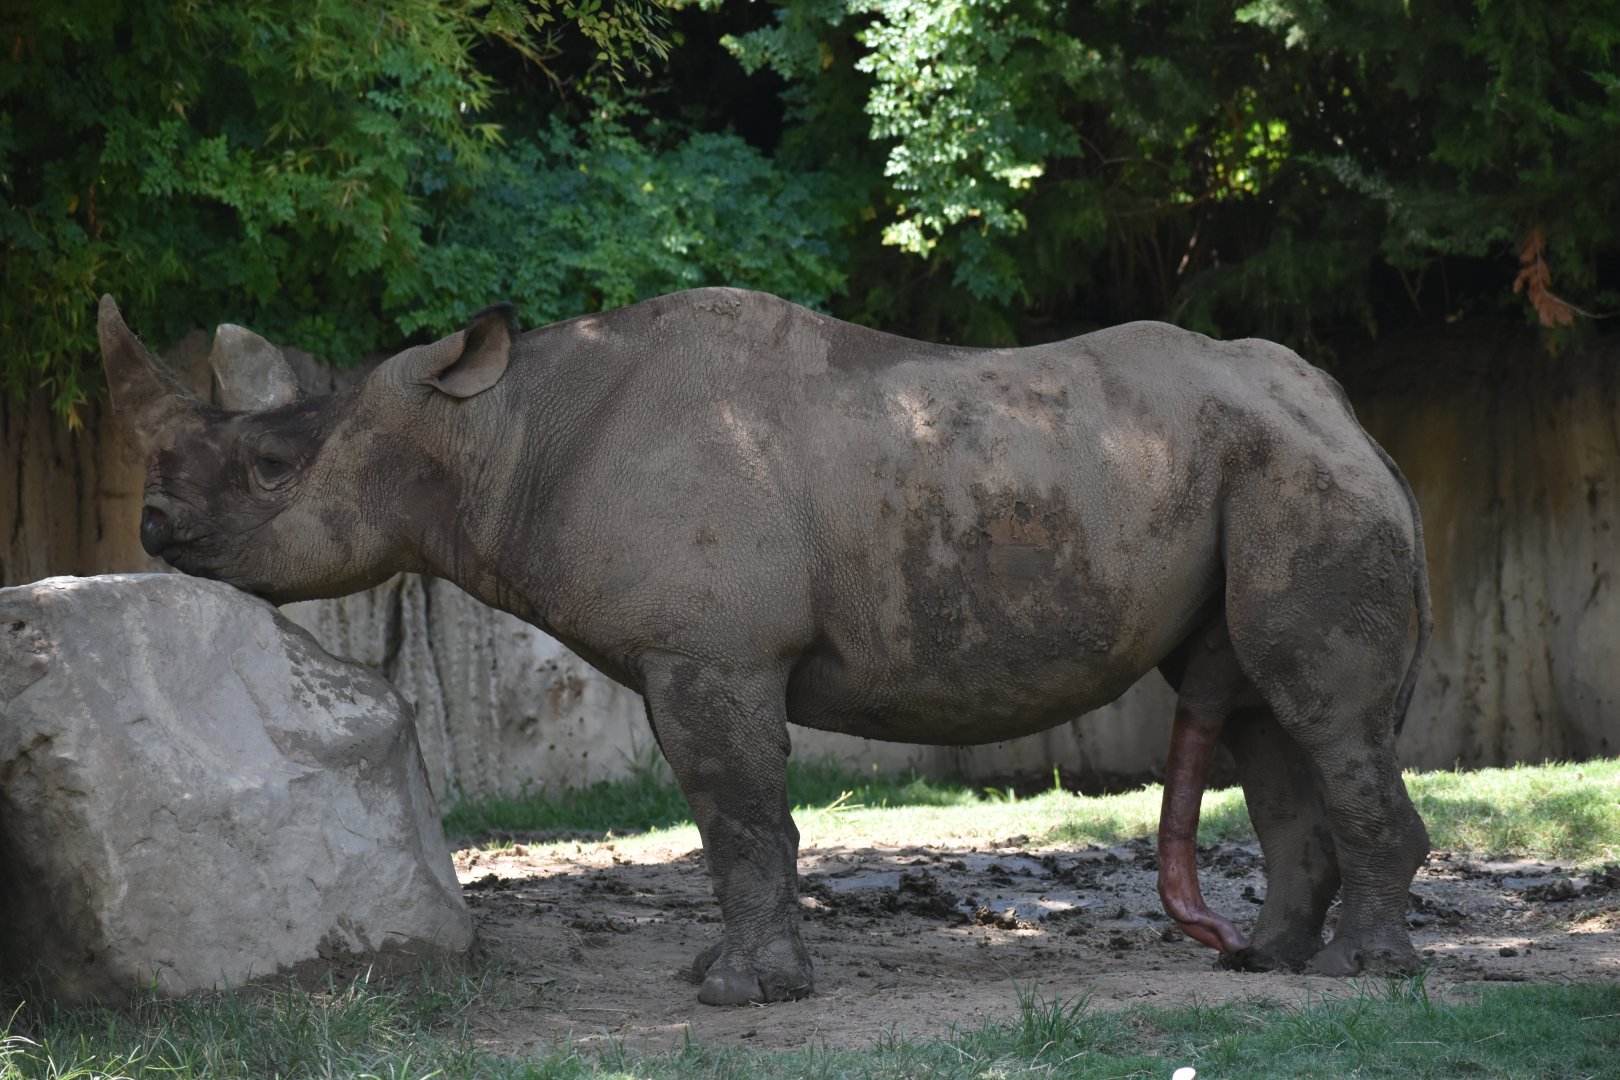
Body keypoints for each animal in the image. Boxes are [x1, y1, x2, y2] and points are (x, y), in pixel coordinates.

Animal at [98, 288, 1432, 1005]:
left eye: (272, 467)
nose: (154, 529)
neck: (492, 434)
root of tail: (1347, 410)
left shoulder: (713, 656)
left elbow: (740, 812)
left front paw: (744, 994)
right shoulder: (691, 655)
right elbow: (723, 819)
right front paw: (718, 973)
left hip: (1302, 479)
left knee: (1316, 702)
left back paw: (1358, 976)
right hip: (1254, 465)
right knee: (1266, 713)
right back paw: (1270, 961)